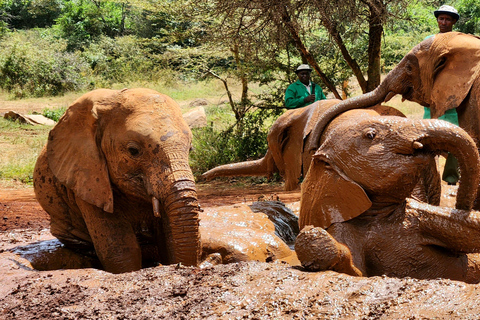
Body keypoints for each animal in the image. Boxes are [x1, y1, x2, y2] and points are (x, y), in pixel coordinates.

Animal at [292, 111, 480, 284]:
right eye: (370, 135)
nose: (462, 205)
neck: (378, 215)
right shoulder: (342, 224)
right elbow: (356, 272)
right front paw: (313, 238)